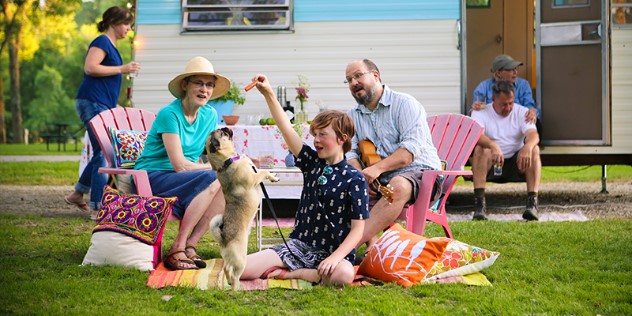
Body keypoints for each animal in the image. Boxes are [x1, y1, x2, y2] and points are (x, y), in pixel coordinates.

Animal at [205, 127, 278, 290]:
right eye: (222, 133)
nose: (225, 128)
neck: (227, 161)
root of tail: (224, 238)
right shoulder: (253, 178)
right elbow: (263, 172)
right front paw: (272, 176)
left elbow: (264, 171)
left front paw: (274, 175)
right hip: (241, 260)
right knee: (233, 273)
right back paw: (237, 288)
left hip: (230, 259)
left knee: (226, 269)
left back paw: (230, 284)